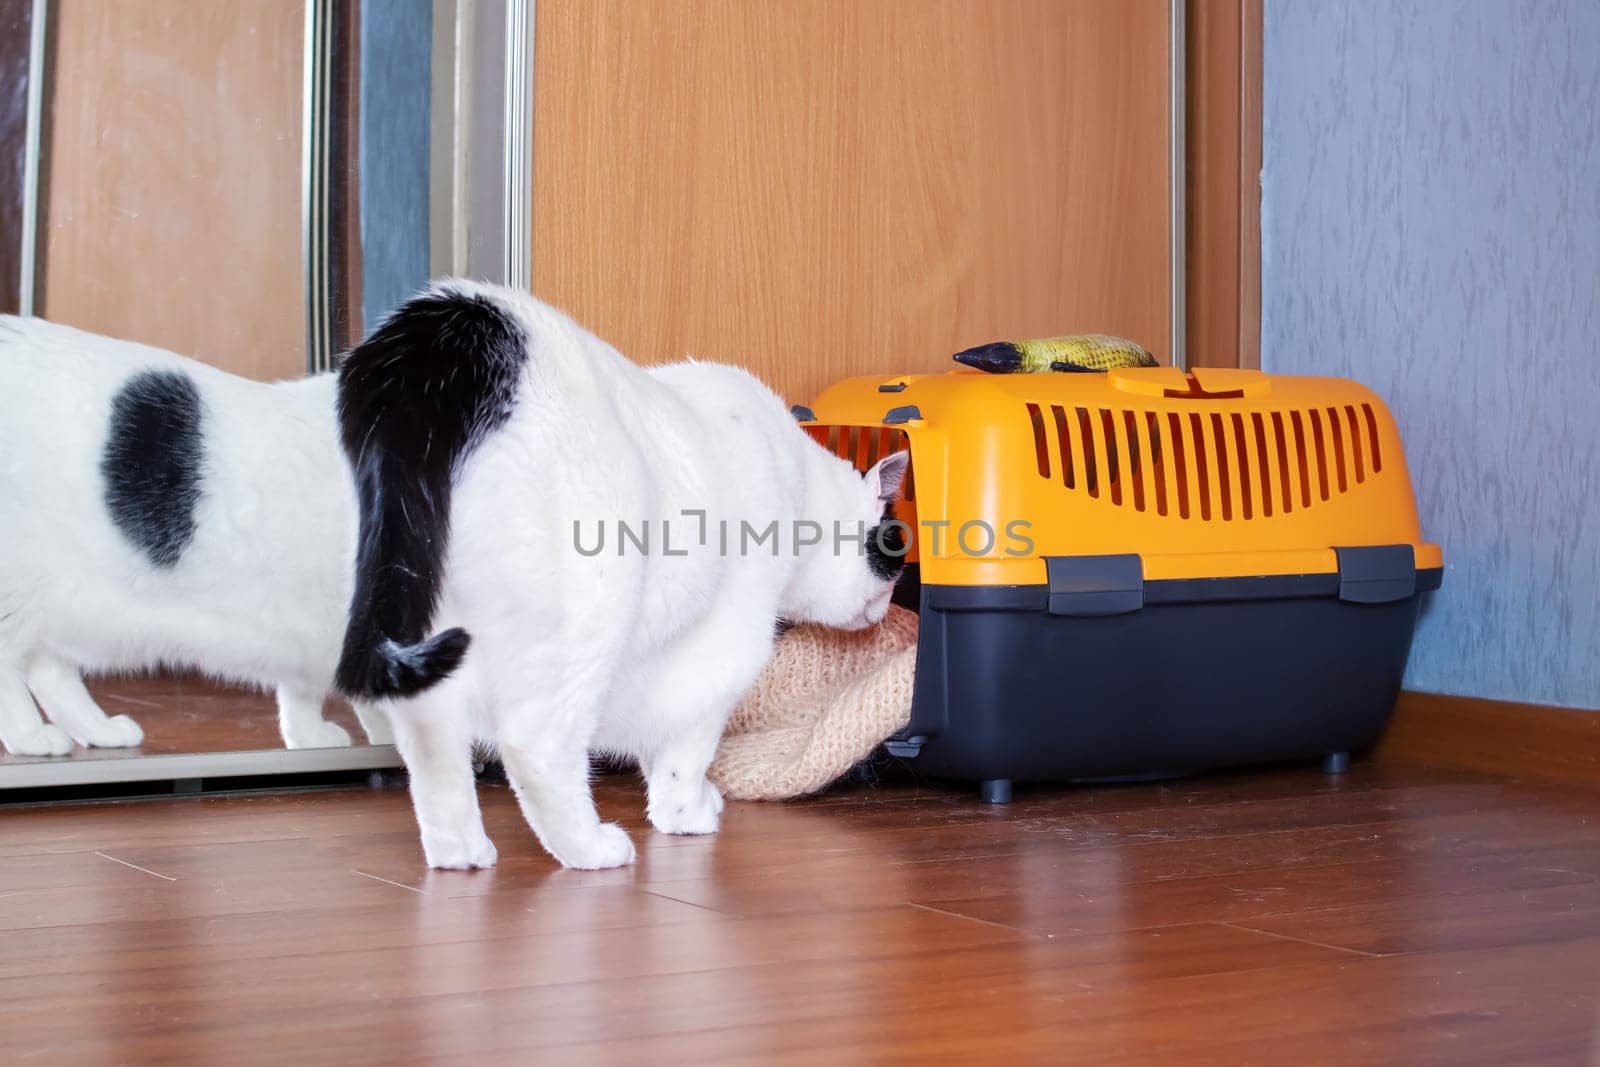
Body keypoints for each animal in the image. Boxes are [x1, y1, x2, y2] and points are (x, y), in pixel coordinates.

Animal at [331, 281, 908, 870]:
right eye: (895, 555)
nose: (886, 611)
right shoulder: (724, 651)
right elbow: (685, 751)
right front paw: (687, 814)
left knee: (433, 751)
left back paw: (461, 854)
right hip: (588, 615)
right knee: (536, 744)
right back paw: (590, 849)